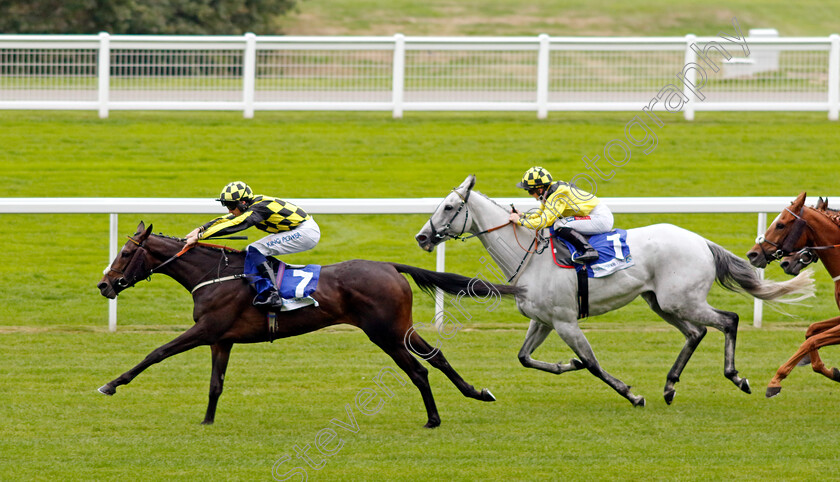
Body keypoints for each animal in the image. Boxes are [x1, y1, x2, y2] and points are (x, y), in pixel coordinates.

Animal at [97, 221, 520, 426]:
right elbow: (216, 384)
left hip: (385, 332)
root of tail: (388, 266)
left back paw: (434, 419)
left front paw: (111, 384)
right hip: (399, 329)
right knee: (435, 357)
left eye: (125, 252)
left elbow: (156, 352)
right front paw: (207, 420)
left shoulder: (206, 331)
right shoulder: (221, 339)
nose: (104, 284)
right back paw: (476, 393)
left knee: (418, 370)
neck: (213, 275)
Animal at [748, 190, 840, 398]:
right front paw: (831, 371)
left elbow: (811, 341)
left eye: (780, 224)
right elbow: (811, 330)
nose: (753, 254)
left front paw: (775, 381)